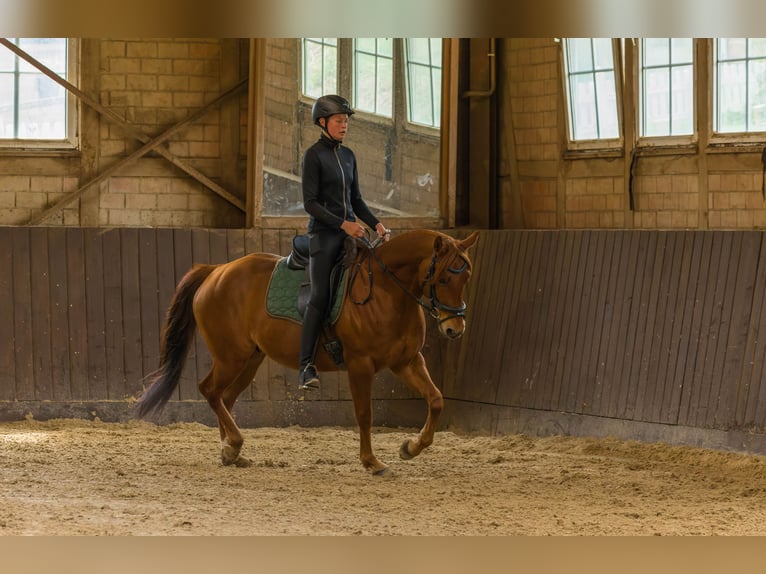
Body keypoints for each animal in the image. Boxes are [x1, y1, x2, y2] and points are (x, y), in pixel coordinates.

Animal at [135, 230, 476, 476]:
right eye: (444, 277)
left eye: (466, 277)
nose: (455, 329)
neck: (386, 291)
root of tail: (217, 271)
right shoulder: (360, 365)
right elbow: (364, 414)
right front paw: (371, 462)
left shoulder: (407, 361)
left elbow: (436, 400)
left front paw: (411, 447)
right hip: (231, 356)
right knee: (209, 390)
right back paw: (233, 445)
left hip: (249, 359)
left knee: (224, 397)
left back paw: (230, 452)